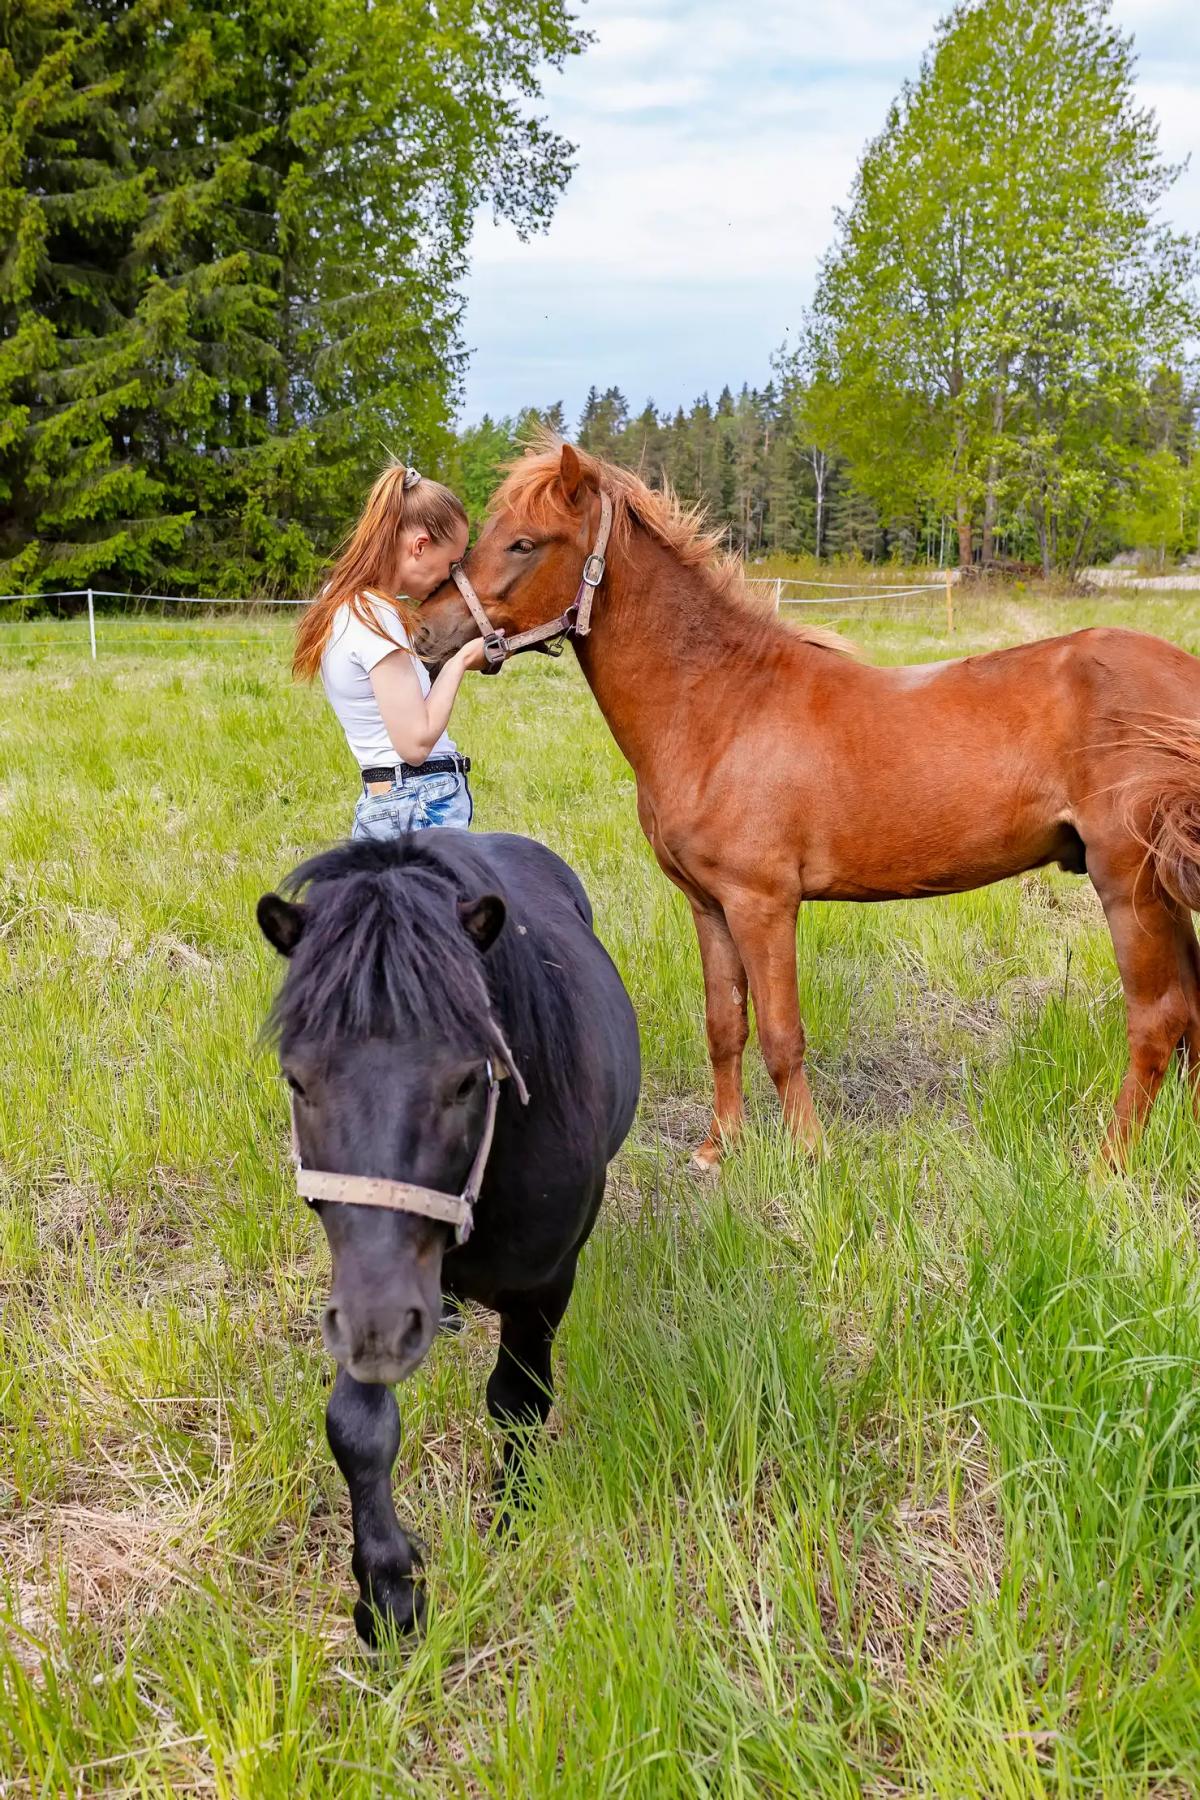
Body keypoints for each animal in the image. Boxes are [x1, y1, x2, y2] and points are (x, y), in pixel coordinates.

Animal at [259, 831, 644, 1648]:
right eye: (297, 1080)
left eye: (470, 1078)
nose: (379, 1331)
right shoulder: (360, 1285)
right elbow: (357, 1428)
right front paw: (387, 1589)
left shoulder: (542, 1287)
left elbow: (519, 1402)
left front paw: (513, 1514)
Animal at [420, 439, 1200, 1166]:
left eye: (524, 542)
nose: (426, 632)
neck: (720, 706)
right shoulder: (708, 906)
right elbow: (724, 1026)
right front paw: (719, 1148)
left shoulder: (763, 905)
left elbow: (780, 1035)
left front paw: (811, 1154)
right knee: (1190, 1010)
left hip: (1129, 884)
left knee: (1157, 1019)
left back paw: (1108, 1164)